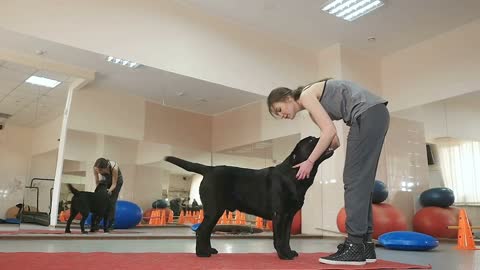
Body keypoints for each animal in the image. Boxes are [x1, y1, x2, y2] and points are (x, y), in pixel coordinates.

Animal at [165, 136, 334, 258]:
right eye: (311, 140)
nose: (325, 136)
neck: (293, 174)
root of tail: (209, 169)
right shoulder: (279, 214)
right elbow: (279, 238)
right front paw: (283, 255)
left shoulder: (289, 215)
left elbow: (286, 237)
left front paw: (289, 252)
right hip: (214, 210)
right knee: (201, 231)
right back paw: (202, 254)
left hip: (216, 212)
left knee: (205, 232)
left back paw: (209, 250)